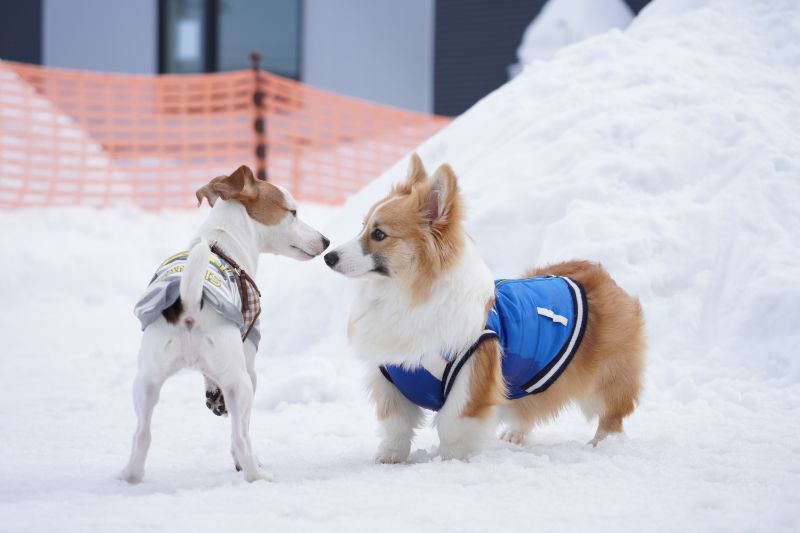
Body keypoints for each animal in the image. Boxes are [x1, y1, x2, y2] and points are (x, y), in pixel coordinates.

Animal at [118, 166, 328, 482]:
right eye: (292, 212)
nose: (326, 240)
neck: (220, 241)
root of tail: (190, 305)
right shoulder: (248, 362)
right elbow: (241, 429)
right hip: (240, 383)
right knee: (241, 437)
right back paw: (257, 474)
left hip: (146, 382)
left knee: (141, 434)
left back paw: (130, 475)